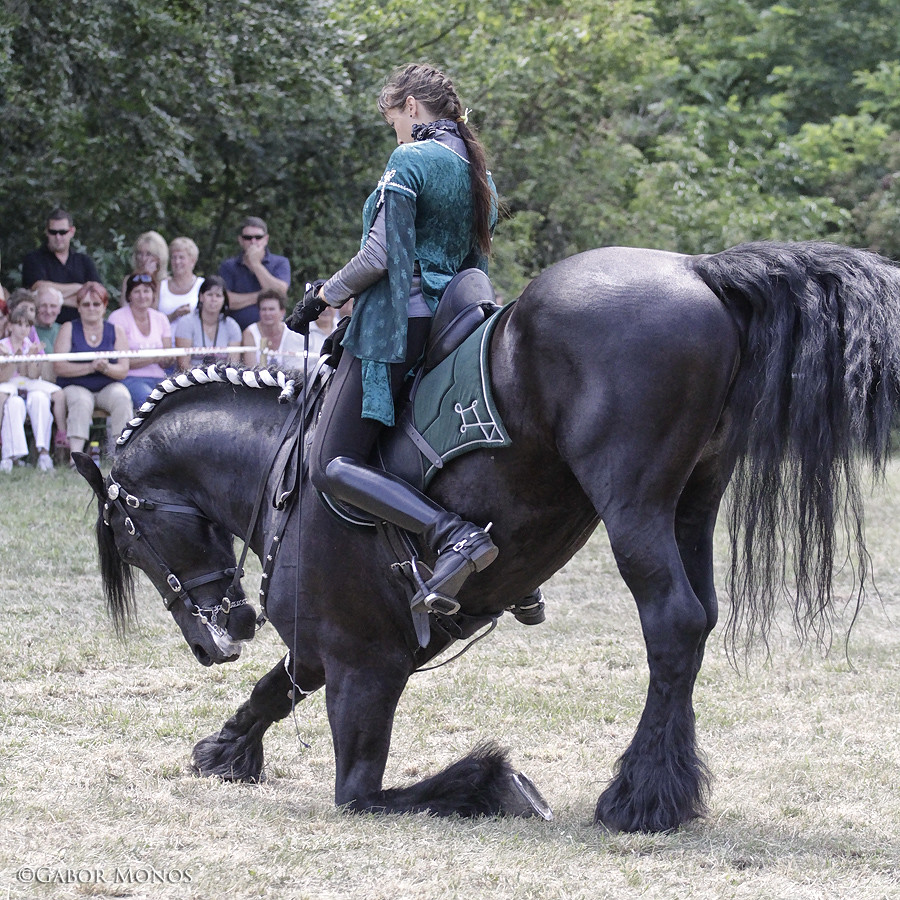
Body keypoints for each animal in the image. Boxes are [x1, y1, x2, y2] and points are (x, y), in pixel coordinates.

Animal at [74, 240, 900, 834]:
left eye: (132, 537)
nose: (214, 639)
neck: (280, 471)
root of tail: (695, 269)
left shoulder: (362, 667)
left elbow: (364, 791)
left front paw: (496, 783)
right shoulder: (324, 649)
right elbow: (275, 687)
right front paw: (227, 747)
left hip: (633, 503)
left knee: (673, 623)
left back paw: (639, 799)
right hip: (693, 501)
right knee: (700, 623)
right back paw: (673, 784)